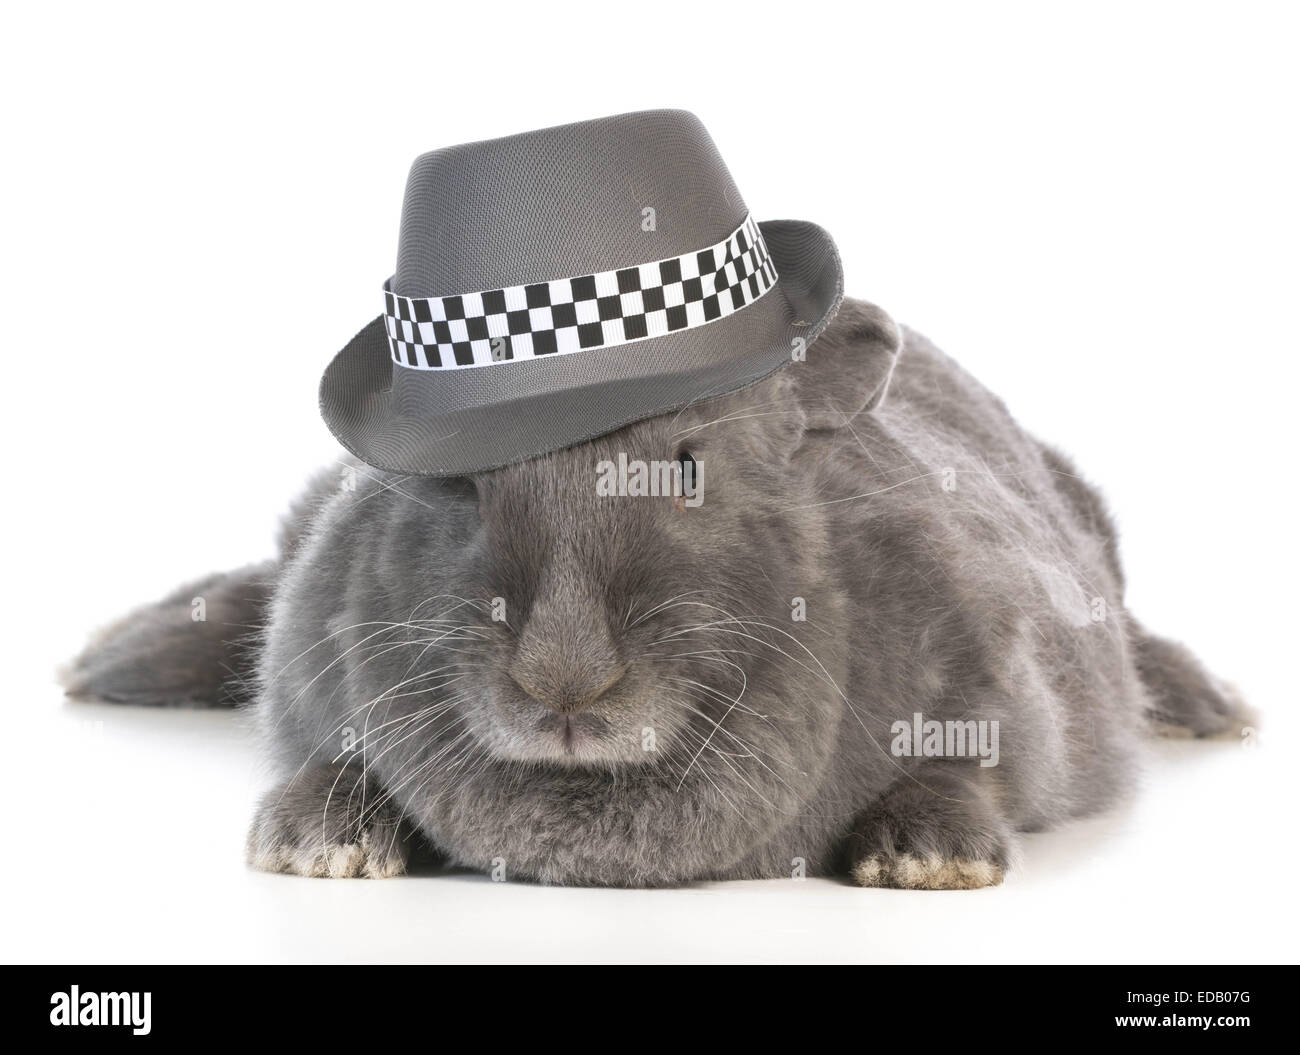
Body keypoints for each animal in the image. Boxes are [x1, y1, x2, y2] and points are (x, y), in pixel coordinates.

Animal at [62, 298, 1250, 888]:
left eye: (686, 469)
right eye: (460, 484)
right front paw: (317, 840)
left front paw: (931, 855)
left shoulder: (1001, 680)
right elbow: (327, 757)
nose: (564, 679)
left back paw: (1211, 707)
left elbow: (968, 769)